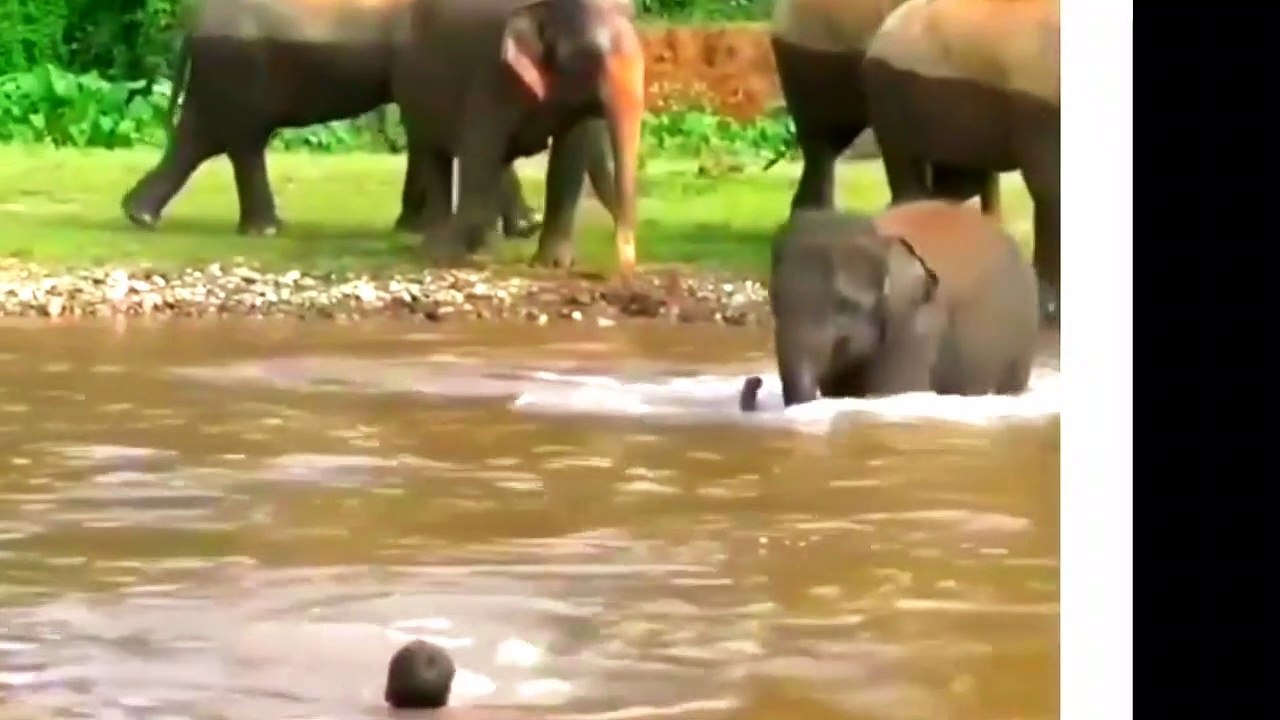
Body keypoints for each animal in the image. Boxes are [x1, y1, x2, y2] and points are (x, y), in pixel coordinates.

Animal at [119, 0, 619, 241]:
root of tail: (193, 22)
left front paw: (413, 227)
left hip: (223, 72)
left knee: (200, 136)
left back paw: (140, 216)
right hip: (240, 66)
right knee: (240, 139)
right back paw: (265, 229)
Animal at [393, 0, 643, 274]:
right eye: (592, 57)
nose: (624, 269)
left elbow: (568, 160)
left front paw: (553, 264)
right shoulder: (493, 76)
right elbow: (480, 159)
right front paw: (452, 260)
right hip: (414, 90)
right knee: (436, 155)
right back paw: (439, 251)